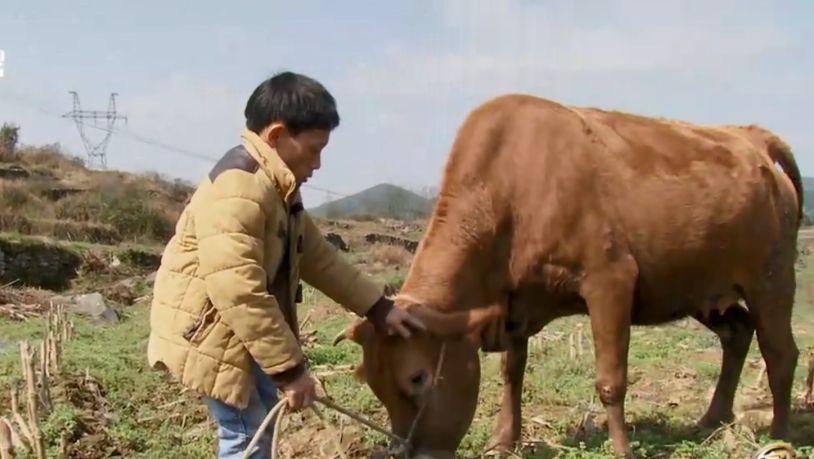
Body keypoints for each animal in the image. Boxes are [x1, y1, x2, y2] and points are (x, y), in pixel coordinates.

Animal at [336, 95, 804, 458]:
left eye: (417, 378)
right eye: (372, 384)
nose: (410, 451)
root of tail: (750, 136)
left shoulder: (610, 280)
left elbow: (610, 380)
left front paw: (622, 449)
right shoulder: (516, 304)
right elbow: (512, 372)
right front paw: (503, 440)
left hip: (772, 278)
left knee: (781, 354)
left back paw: (779, 434)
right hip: (699, 288)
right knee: (737, 333)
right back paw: (710, 419)